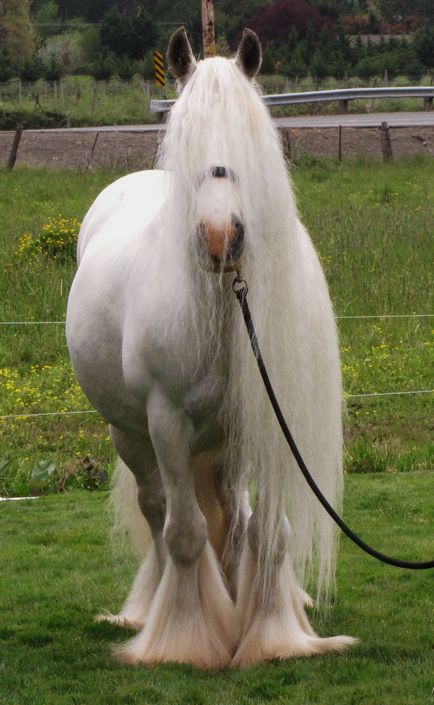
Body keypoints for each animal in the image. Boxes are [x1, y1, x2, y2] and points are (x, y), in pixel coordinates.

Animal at [65, 27, 356, 664]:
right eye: (186, 135)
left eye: (250, 138)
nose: (222, 236)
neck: (226, 306)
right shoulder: (167, 422)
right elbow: (185, 531)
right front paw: (185, 641)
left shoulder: (265, 421)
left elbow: (267, 532)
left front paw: (273, 635)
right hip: (130, 434)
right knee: (159, 512)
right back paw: (151, 610)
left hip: (226, 440)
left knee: (232, 512)